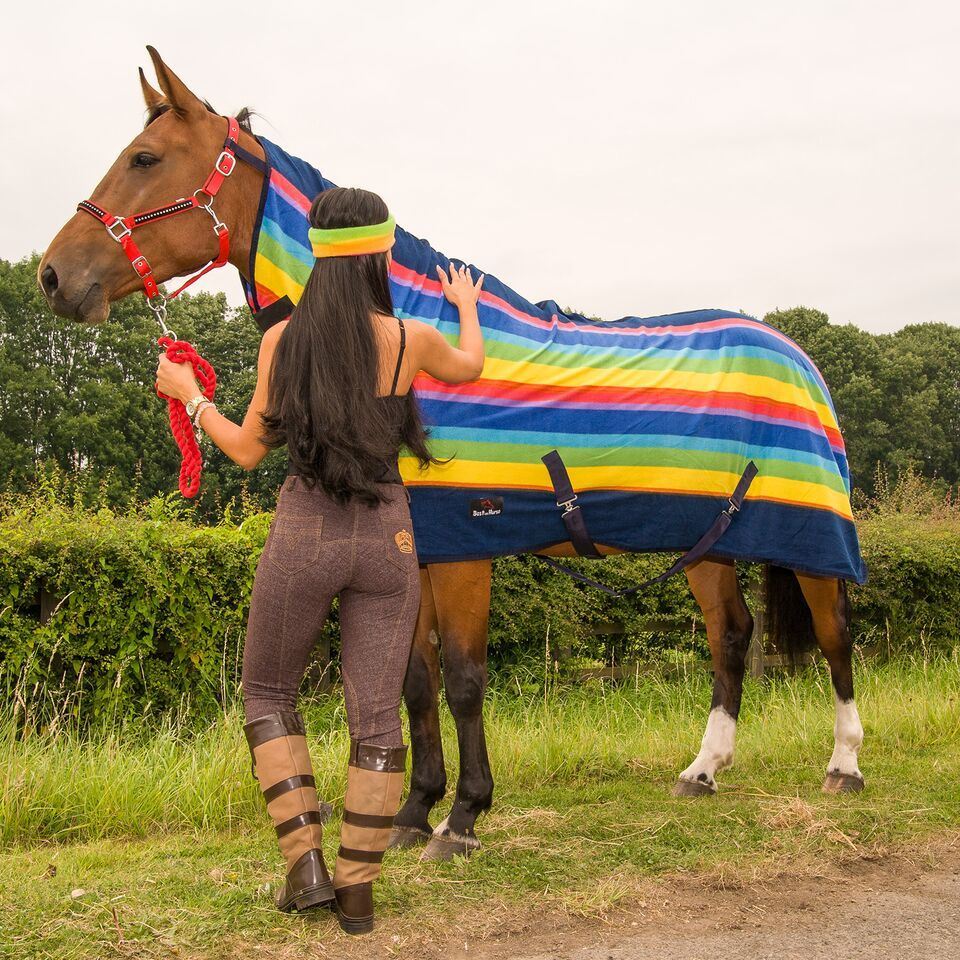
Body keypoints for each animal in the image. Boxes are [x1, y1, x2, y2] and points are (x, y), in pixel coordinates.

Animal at [39, 48, 867, 863]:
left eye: (145, 158)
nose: (52, 275)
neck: (398, 329)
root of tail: (798, 356)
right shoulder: (420, 548)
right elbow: (414, 681)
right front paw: (413, 811)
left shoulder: (468, 546)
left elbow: (465, 678)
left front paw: (464, 818)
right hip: (708, 543)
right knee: (730, 636)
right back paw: (702, 771)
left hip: (815, 541)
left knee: (834, 636)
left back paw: (844, 766)